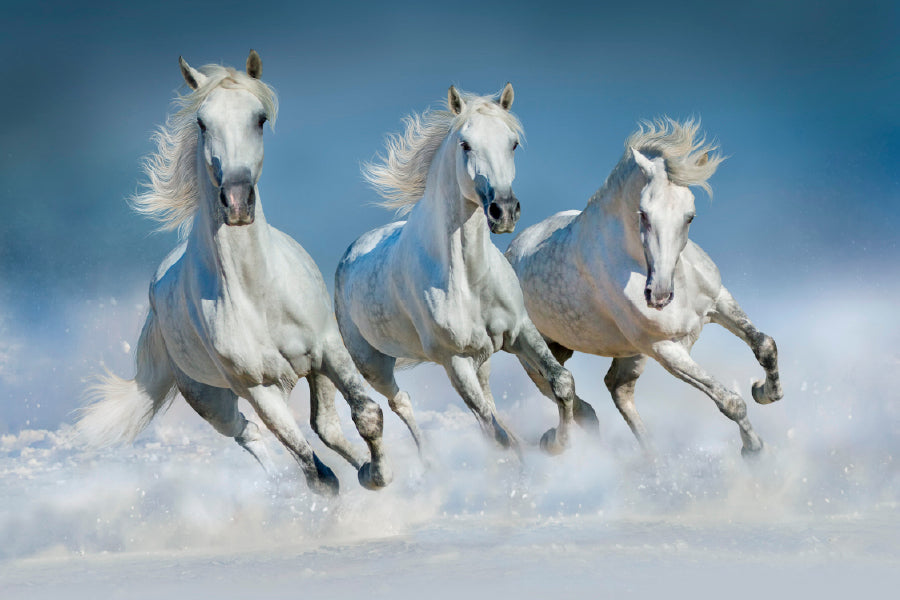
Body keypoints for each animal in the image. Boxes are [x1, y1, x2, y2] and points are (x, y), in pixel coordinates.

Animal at [76, 51, 391, 495]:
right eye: (202, 122)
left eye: (259, 118)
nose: (238, 202)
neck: (258, 293)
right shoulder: (258, 388)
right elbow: (315, 473)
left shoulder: (329, 350)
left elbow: (366, 415)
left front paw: (378, 475)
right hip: (211, 400)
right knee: (249, 433)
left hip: (313, 370)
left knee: (325, 425)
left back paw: (362, 467)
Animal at [334, 84, 598, 460]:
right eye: (465, 144)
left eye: (512, 143)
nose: (504, 211)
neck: (469, 279)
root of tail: (351, 253)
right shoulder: (453, 360)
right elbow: (493, 432)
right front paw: (544, 447)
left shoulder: (521, 331)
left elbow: (561, 382)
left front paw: (555, 442)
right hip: (374, 365)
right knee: (401, 402)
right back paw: (428, 462)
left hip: (481, 357)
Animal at [505, 118, 783, 456]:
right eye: (644, 214)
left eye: (690, 217)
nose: (659, 296)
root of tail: (512, 250)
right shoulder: (662, 348)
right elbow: (730, 401)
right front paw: (754, 450)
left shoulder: (718, 301)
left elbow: (765, 345)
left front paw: (765, 392)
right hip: (537, 352)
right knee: (565, 391)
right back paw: (558, 442)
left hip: (622, 352)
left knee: (617, 387)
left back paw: (653, 458)